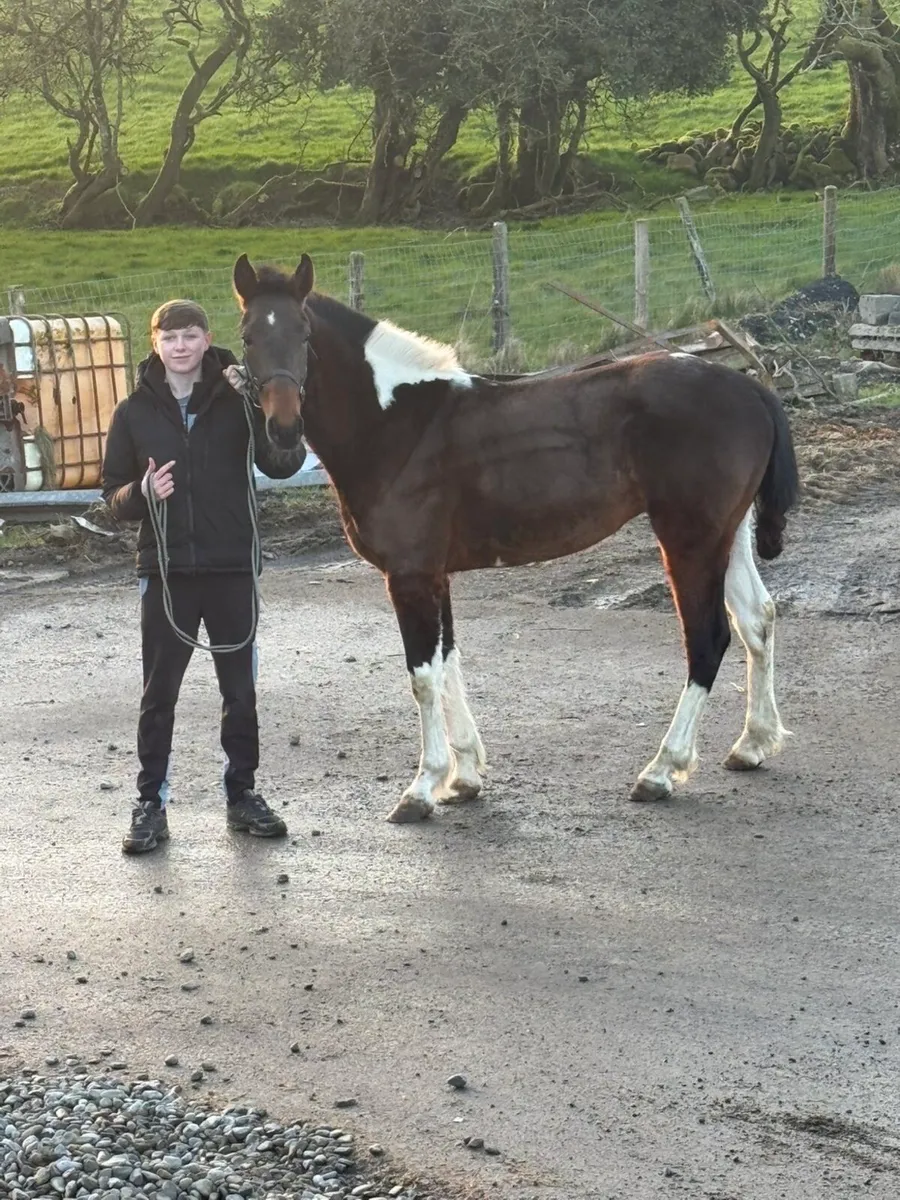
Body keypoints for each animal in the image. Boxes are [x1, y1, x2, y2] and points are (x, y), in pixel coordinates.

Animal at [232, 252, 800, 824]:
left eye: (304, 333)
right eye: (247, 335)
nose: (283, 433)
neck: (398, 423)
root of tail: (749, 387)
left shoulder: (409, 575)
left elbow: (423, 676)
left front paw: (423, 787)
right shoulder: (435, 575)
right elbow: (449, 663)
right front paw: (464, 776)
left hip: (690, 541)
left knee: (708, 639)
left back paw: (661, 770)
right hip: (728, 536)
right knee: (757, 619)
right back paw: (752, 744)